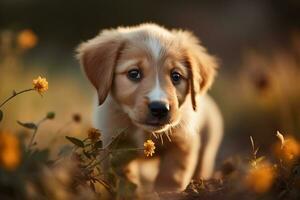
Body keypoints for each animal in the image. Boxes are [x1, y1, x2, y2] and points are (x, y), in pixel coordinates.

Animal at [77, 23, 223, 194]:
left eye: (176, 76)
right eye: (134, 73)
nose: (159, 108)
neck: (143, 131)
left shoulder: (182, 141)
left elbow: (171, 175)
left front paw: (166, 193)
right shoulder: (113, 146)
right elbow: (123, 180)